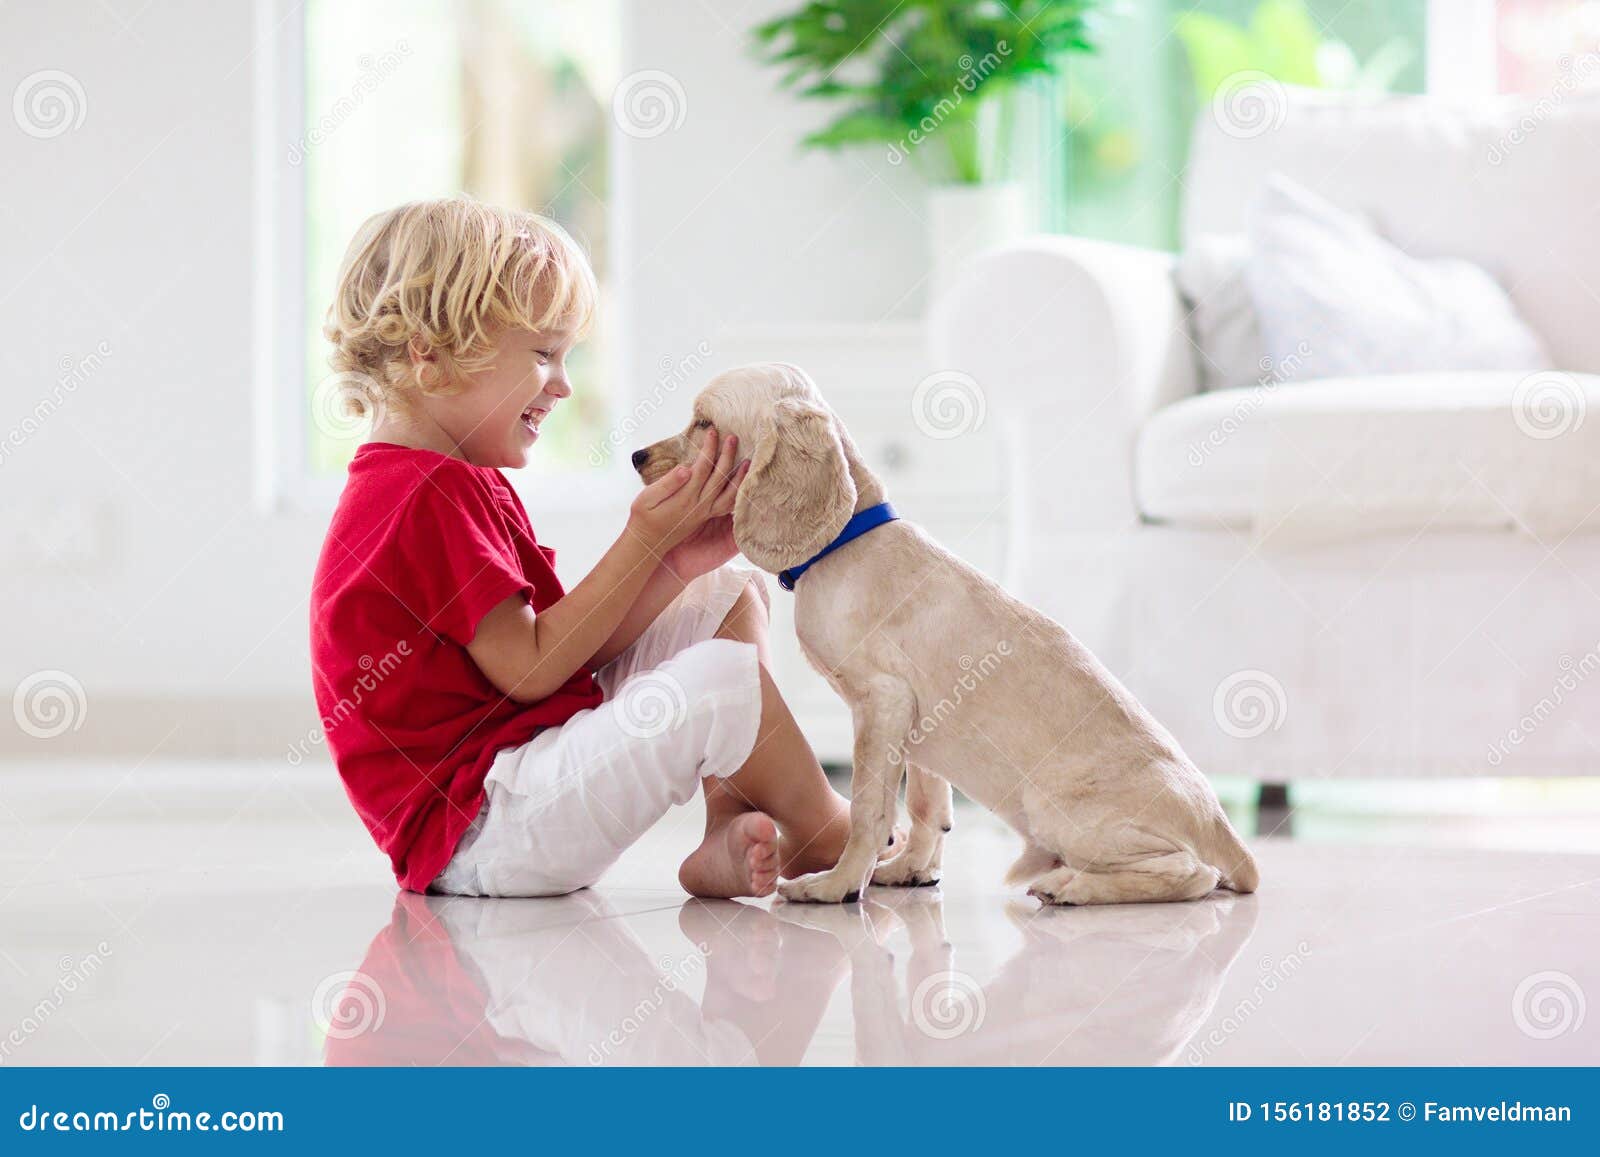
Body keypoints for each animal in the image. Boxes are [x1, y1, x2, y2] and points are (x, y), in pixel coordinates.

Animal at [630, 361, 1254, 902]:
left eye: (704, 423)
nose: (636, 456)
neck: (847, 540)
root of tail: (1225, 830)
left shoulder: (881, 702)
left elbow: (870, 810)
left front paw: (836, 885)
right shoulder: (918, 722)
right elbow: (928, 809)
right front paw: (910, 870)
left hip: (1059, 809)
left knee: (1192, 875)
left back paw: (1071, 886)